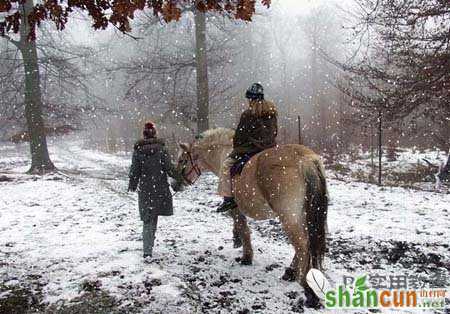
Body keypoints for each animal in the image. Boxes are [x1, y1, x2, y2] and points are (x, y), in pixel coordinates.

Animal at [178, 127, 328, 306]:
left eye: (181, 160)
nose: (175, 183)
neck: (224, 154)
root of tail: (305, 159)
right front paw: (237, 241)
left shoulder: (236, 209)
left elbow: (243, 229)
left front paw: (246, 257)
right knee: (306, 243)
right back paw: (292, 273)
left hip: (289, 217)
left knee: (302, 245)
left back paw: (307, 288)